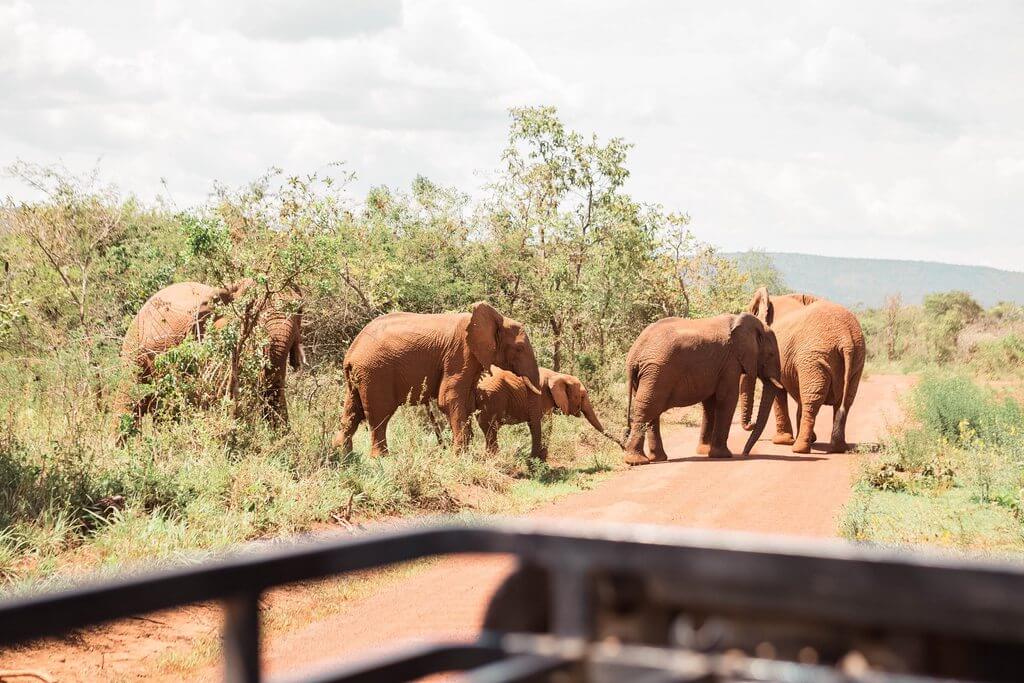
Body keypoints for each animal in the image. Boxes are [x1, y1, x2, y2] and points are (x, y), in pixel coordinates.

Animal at [331, 303, 548, 458]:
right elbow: (449, 399)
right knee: (379, 413)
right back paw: (381, 458)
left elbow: (467, 402)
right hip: (375, 372)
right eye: (519, 348)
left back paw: (342, 454)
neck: (494, 318)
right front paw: (460, 456)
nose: (535, 458)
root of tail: (351, 352)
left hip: (360, 375)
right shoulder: (460, 353)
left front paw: (465, 451)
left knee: (352, 410)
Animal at [473, 366, 622, 456]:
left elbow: (535, 425)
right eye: (581, 396)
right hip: (492, 399)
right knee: (491, 429)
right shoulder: (541, 396)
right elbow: (544, 425)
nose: (623, 446)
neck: (557, 375)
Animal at [614, 313, 782, 464]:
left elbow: (710, 404)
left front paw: (704, 451)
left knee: (651, 411)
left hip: (648, 375)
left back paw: (657, 459)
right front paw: (723, 455)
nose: (745, 453)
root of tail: (634, 353)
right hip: (657, 372)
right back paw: (637, 461)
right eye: (771, 354)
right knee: (648, 408)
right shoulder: (730, 363)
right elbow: (727, 400)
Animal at [741, 288, 868, 454]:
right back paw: (838, 448)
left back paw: (799, 448)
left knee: (812, 399)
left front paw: (781, 441)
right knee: (845, 401)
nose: (751, 424)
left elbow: (779, 392)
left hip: (814, 357)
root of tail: (846, 338)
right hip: (856, 360)